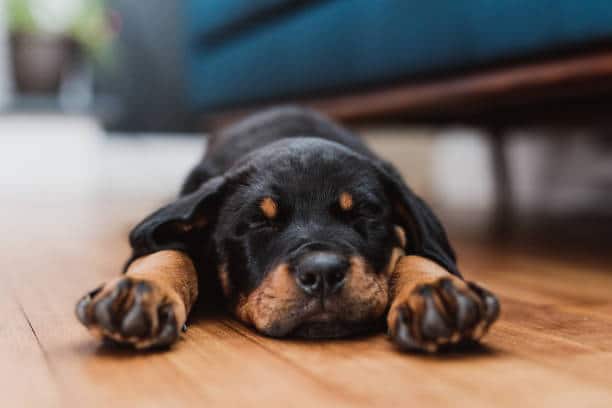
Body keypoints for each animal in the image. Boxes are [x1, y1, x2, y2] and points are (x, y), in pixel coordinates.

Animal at [76, 107, 500, 352]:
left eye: (364, 214)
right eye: (259, 222)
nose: (323, 273)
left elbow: (415, 255)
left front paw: (437, 293)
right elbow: (168, 251)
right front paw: (137, 292)